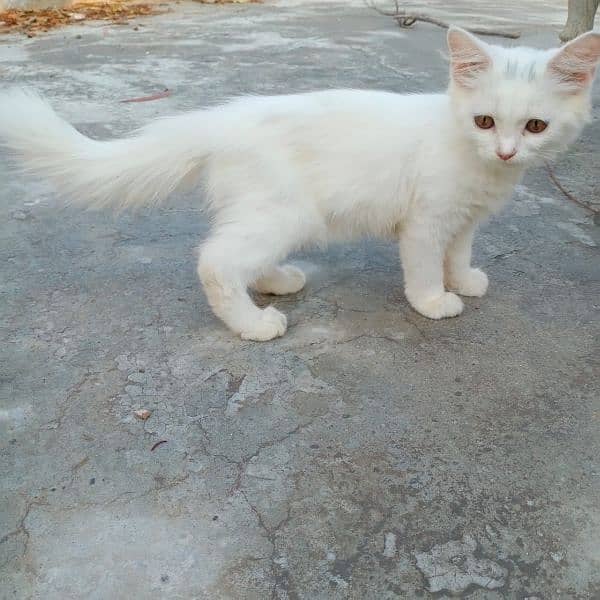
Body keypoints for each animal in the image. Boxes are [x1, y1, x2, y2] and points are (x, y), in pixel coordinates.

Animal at [1, 28, 600, 340]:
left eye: (535, 127)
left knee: (242, 257)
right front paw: (434, 301)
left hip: (270, 214)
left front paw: (465, 279)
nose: (507, 150)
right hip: (286, 213)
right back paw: (253, 323)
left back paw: (276, 281)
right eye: (484, 121)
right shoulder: (427, 221)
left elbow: (459, 253)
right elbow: (428, 267)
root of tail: (222, 116)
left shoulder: (464, 219)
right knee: (216, 262)